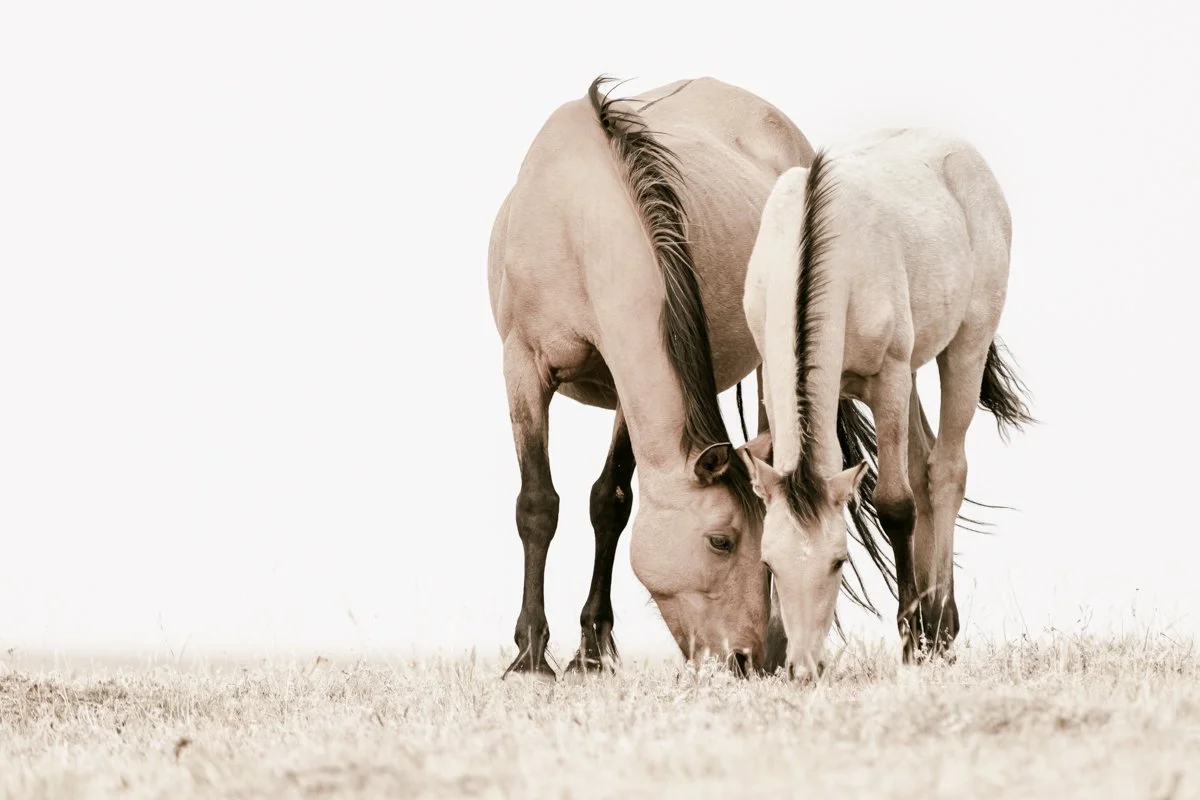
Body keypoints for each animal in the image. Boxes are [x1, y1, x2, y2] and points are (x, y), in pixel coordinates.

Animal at [487, 76, 897, 679]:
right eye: (721, 541)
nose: (748, 658)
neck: (576, 222)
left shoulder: (628, 382)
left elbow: (609, 502)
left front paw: (590, 650)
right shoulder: (523, 366)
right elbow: (539, 505)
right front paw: (533, 655)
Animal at [740, 127, 1035, 677]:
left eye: (839, 561)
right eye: (770, 563)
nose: (804, 668)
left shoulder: (890, 377)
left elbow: (896, 504)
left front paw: (912, 641)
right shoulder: (771, 370)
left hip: (964, 345)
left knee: (945, 470)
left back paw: (938, 629)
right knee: (923, 462)